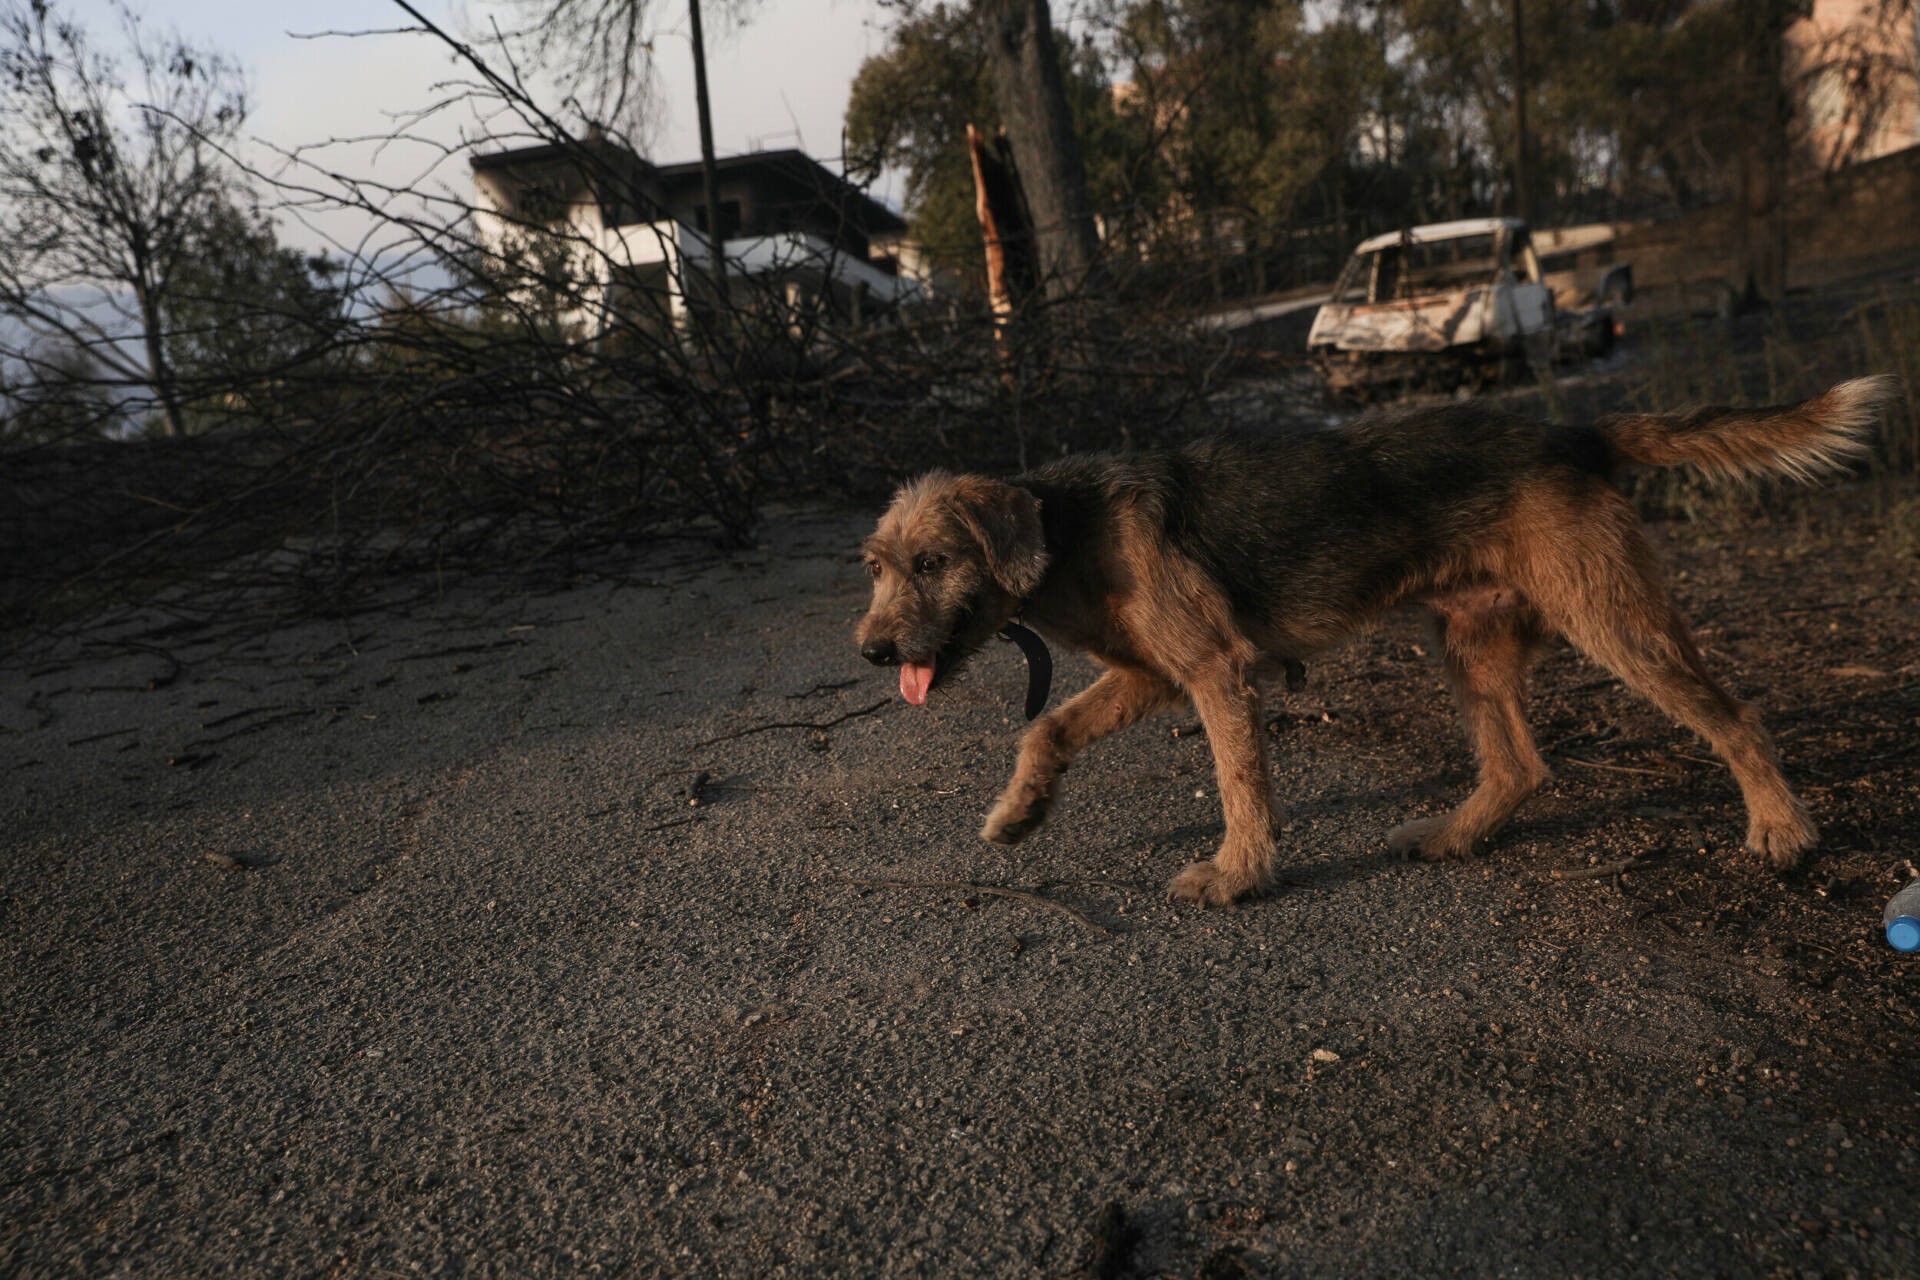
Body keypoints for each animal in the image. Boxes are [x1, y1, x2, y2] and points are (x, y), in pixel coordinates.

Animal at [864, 376, 1896, 905]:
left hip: (1615, 624)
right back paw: (1453, 835)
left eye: (932, 562)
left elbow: (1240, 785)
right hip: (1471, 645)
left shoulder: (1215, 674)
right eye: (876, 565)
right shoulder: (1154, 677)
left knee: (1734, 716)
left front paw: (1238, 875)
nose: (872, 653)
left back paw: (1783, 828)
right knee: (1519, 765)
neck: (1065, 525)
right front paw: (1019, 814)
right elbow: (1046, 729)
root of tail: (1572, 433)